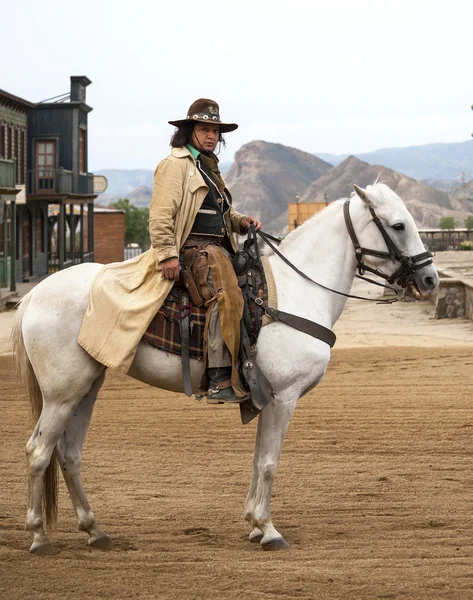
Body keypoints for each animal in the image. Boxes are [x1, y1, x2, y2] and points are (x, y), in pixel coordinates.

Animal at [12, 183, 438, 552]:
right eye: (398, 226)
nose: (430, 278)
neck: (293, 293)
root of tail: (36, 294)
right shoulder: (284, 398)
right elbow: (269, 463)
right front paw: (269, 530)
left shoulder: (266, 399)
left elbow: (256, 460)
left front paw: (254, 523)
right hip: (62, 394)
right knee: (39, 451)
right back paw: (39, 537)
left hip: (87, 387)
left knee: (69, 454)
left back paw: (94, 530)